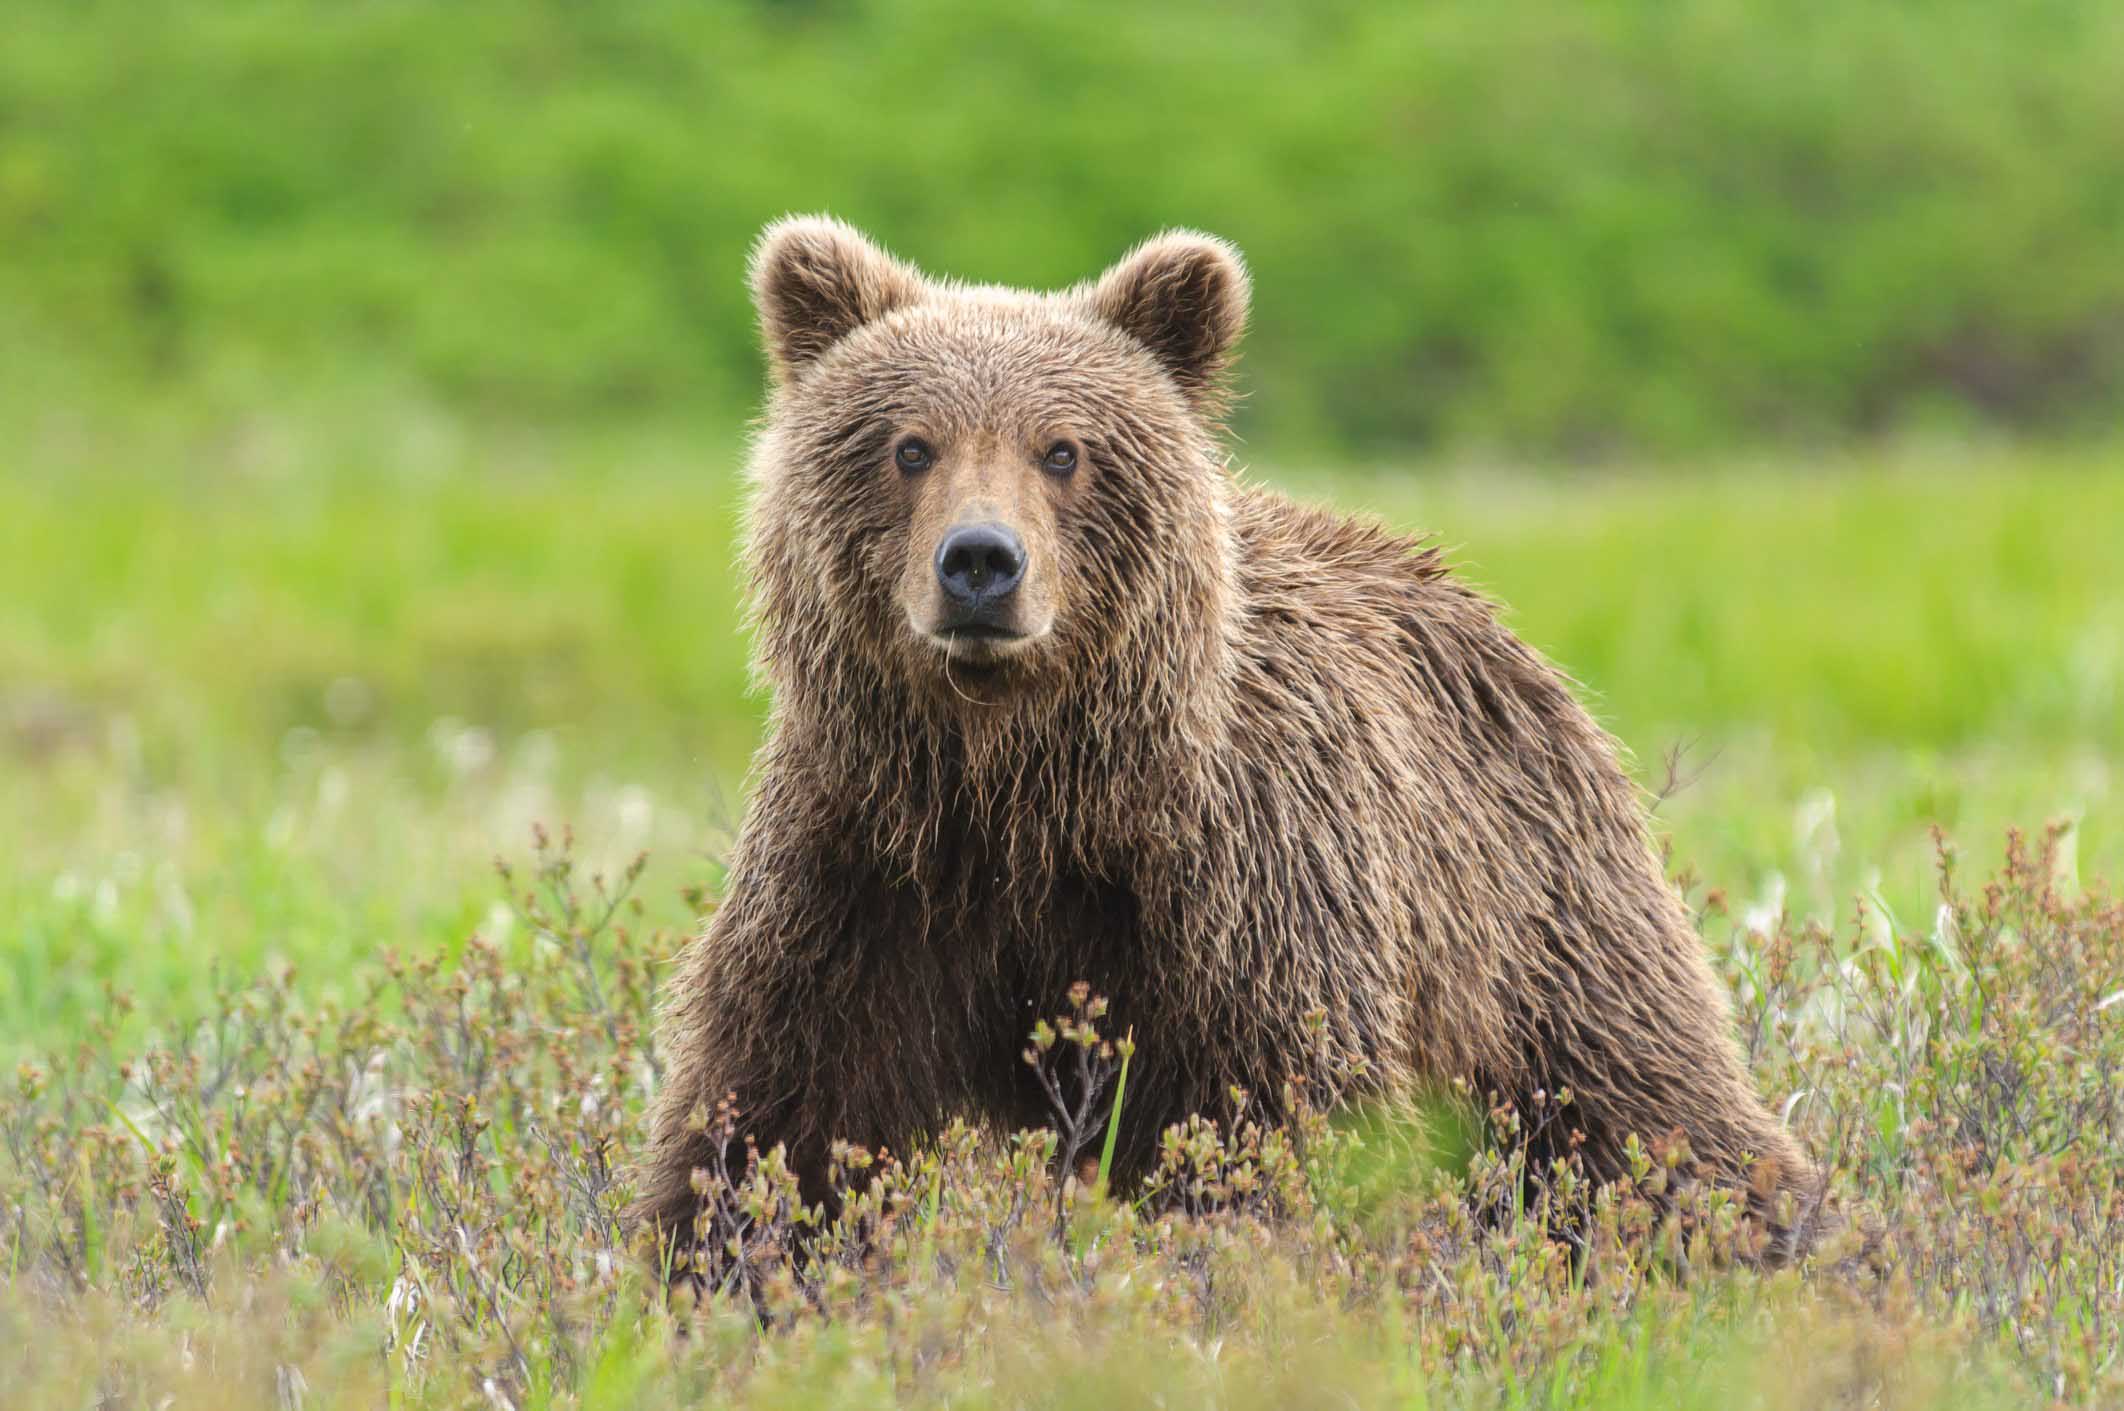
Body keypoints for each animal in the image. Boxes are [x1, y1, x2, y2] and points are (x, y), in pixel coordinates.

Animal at [632, 217, 1826, 1258]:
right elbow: (780, 1116)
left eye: (1062, 449)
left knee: (1639, 1100)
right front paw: (724, 1265)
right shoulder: (865, 870)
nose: (979, 562)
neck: (1022, 789)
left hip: (1532, 908)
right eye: (909, 446)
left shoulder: (1238, 889)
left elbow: (1279, 1118)